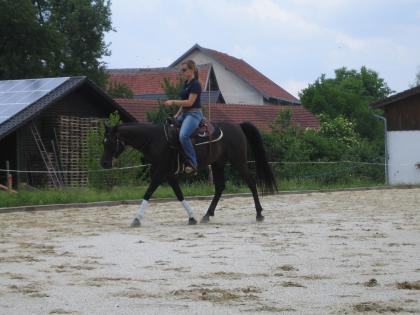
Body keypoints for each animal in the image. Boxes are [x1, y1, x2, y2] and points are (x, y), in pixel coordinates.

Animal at [101, 121, 278, 227]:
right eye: (103, 142)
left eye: (111, 141)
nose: (104, 163)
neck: (155, 140)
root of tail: (238, 126)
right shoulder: (169, 175)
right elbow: (179, 194)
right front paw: (192, 217)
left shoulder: (160, 173)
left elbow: (148, 192)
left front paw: (136, 219)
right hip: (218, 164)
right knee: (220, 187)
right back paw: (207, 215)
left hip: (238, 162)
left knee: (251, 183)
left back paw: (259, 214)